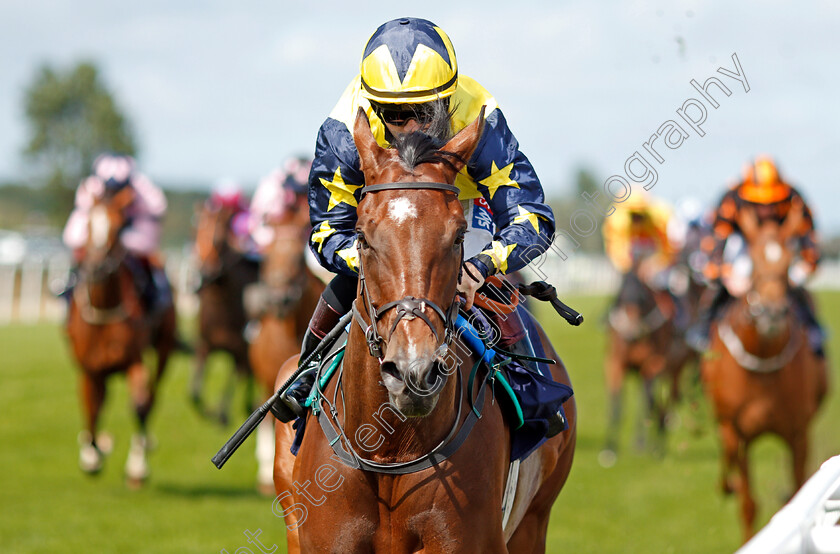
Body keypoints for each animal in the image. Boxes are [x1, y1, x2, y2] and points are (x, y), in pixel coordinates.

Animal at [194, 203, 260, 422]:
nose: (205, 274)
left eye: (219, 240)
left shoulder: (241, 349)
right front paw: (210, 411)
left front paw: (222, 413)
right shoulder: (204, 344)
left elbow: (237, 376)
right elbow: (194, 394)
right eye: (195, 234)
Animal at [272, 105, 576, 548]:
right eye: (362, 236)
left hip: (534, 521)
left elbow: (529, 211)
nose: (414, 372)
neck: (389, 451)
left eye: (458, 236)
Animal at [704, 199, 828, 540]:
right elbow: (747, 502)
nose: (772, 313)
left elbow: (798, 493)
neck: (762, 367)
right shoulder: (737, 433)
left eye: (787, 263)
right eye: (756, 263)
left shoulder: (798, 434)